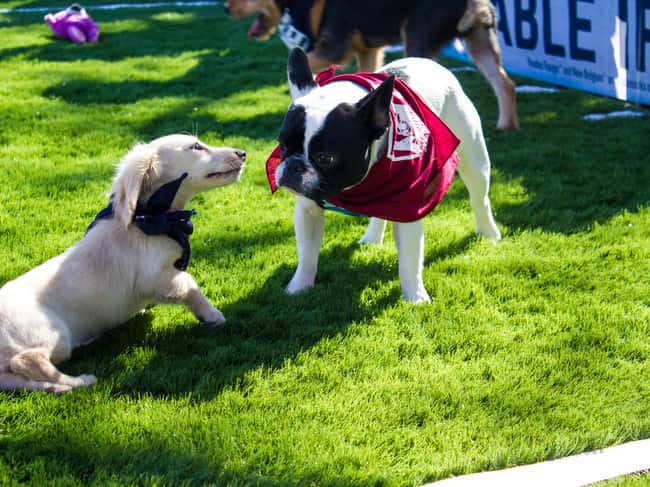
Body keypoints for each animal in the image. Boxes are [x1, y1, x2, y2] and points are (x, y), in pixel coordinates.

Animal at [0, 135, 246, 394]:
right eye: (196, 146)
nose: (242, 153)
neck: (154, 219)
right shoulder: (155, 277)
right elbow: (190, 285)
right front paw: (212, 315)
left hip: (12, 371)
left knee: (18, 378)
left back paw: (61, 386)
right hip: (52, 335)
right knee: (27, 360)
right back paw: (82, 380)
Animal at [223, 0, 516, 131]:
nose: (225, 8)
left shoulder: (334, 48)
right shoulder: (369, 50)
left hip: (417, 38)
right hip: (480, 41)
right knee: (505, 83)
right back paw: (506, 124)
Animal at [266, 47, 498, 304]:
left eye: (325, 158)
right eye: (283, 146)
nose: (293, 166)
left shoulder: (408, 211)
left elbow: (409, 262)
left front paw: (415, 299)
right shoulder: (308, 210)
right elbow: (307, 253)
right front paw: (298, 287)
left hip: (474, 160)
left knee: (479, 200)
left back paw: (489, 233)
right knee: (381, 210)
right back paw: (372, 237)